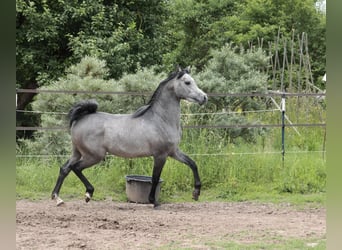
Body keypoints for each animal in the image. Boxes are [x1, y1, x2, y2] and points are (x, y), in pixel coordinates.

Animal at [50, 66, 206, 207]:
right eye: (187, 82)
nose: (204, 98)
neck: (160, 119)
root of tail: (79, 119)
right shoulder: (160, 155)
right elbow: (155, 178)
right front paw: (153, 201)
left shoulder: (173, 152)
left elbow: (193, 164)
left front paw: (196, 193)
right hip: (93, 156)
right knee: (76, 168)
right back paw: (88, 193)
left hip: (77, 153)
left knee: (64, 169)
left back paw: (58, 198)